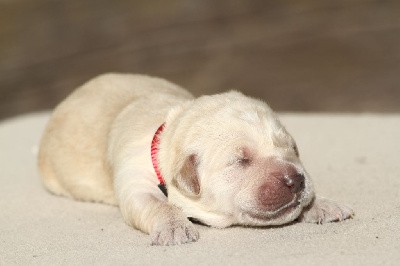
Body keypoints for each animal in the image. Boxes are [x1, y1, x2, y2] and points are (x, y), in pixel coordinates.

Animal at [38, 72, 354, 245]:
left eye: (292, 148)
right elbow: (158, 205)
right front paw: (175, 227)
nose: (296, 180)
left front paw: (321, 204)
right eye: (241, 160)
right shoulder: (134, 182)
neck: (167, 133)